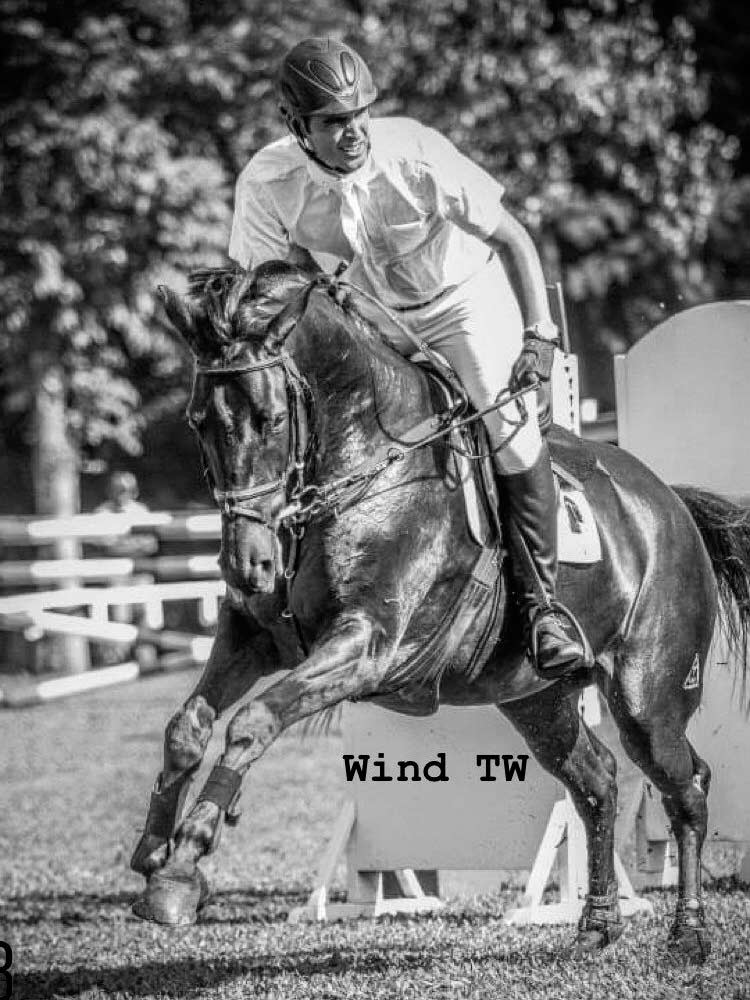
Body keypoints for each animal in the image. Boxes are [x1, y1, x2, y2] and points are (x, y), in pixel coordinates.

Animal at [131, 259, 750, 963]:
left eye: (270, 418)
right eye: (197, 422)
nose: (248, 566)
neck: (364, 464)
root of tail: (669, 502)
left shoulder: (365, 646)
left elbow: (252, 721)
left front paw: (184, 867)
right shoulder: (257, 639)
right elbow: (188, 725)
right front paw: (152, 855)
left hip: (648, 698)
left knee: (686, 784)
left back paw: (688, 934)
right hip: (536, 699)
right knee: (597, 783)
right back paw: (594, 927)